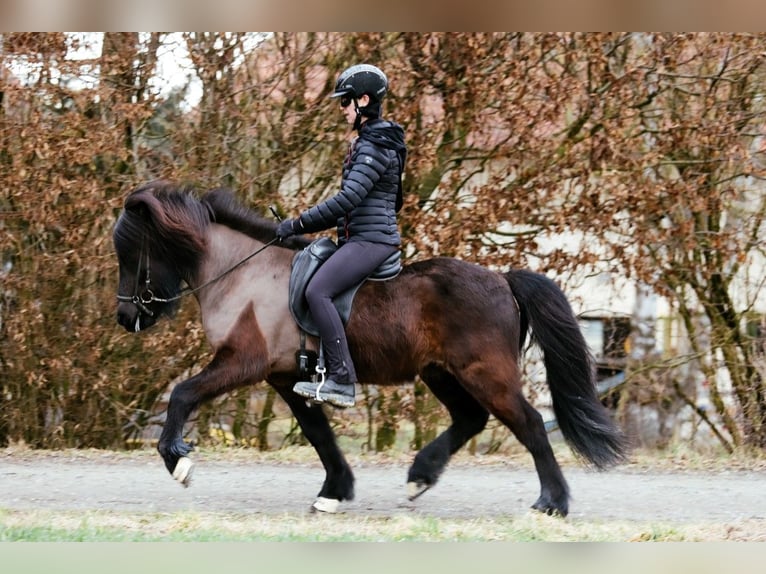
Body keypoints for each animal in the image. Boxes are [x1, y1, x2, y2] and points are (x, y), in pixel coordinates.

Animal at [114, 180, 632, 516]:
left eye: (131, 252)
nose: (125, 317)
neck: (243, 273)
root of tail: (502, 280)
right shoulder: (286, 376)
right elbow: (320, 436)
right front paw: (334, 491)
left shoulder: (245, 362)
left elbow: (182, 393)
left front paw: (177, 460)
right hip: (440, 372)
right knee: (471, 419)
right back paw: (422, 475)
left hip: (486, 373)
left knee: (529, 425)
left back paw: (553, 502)